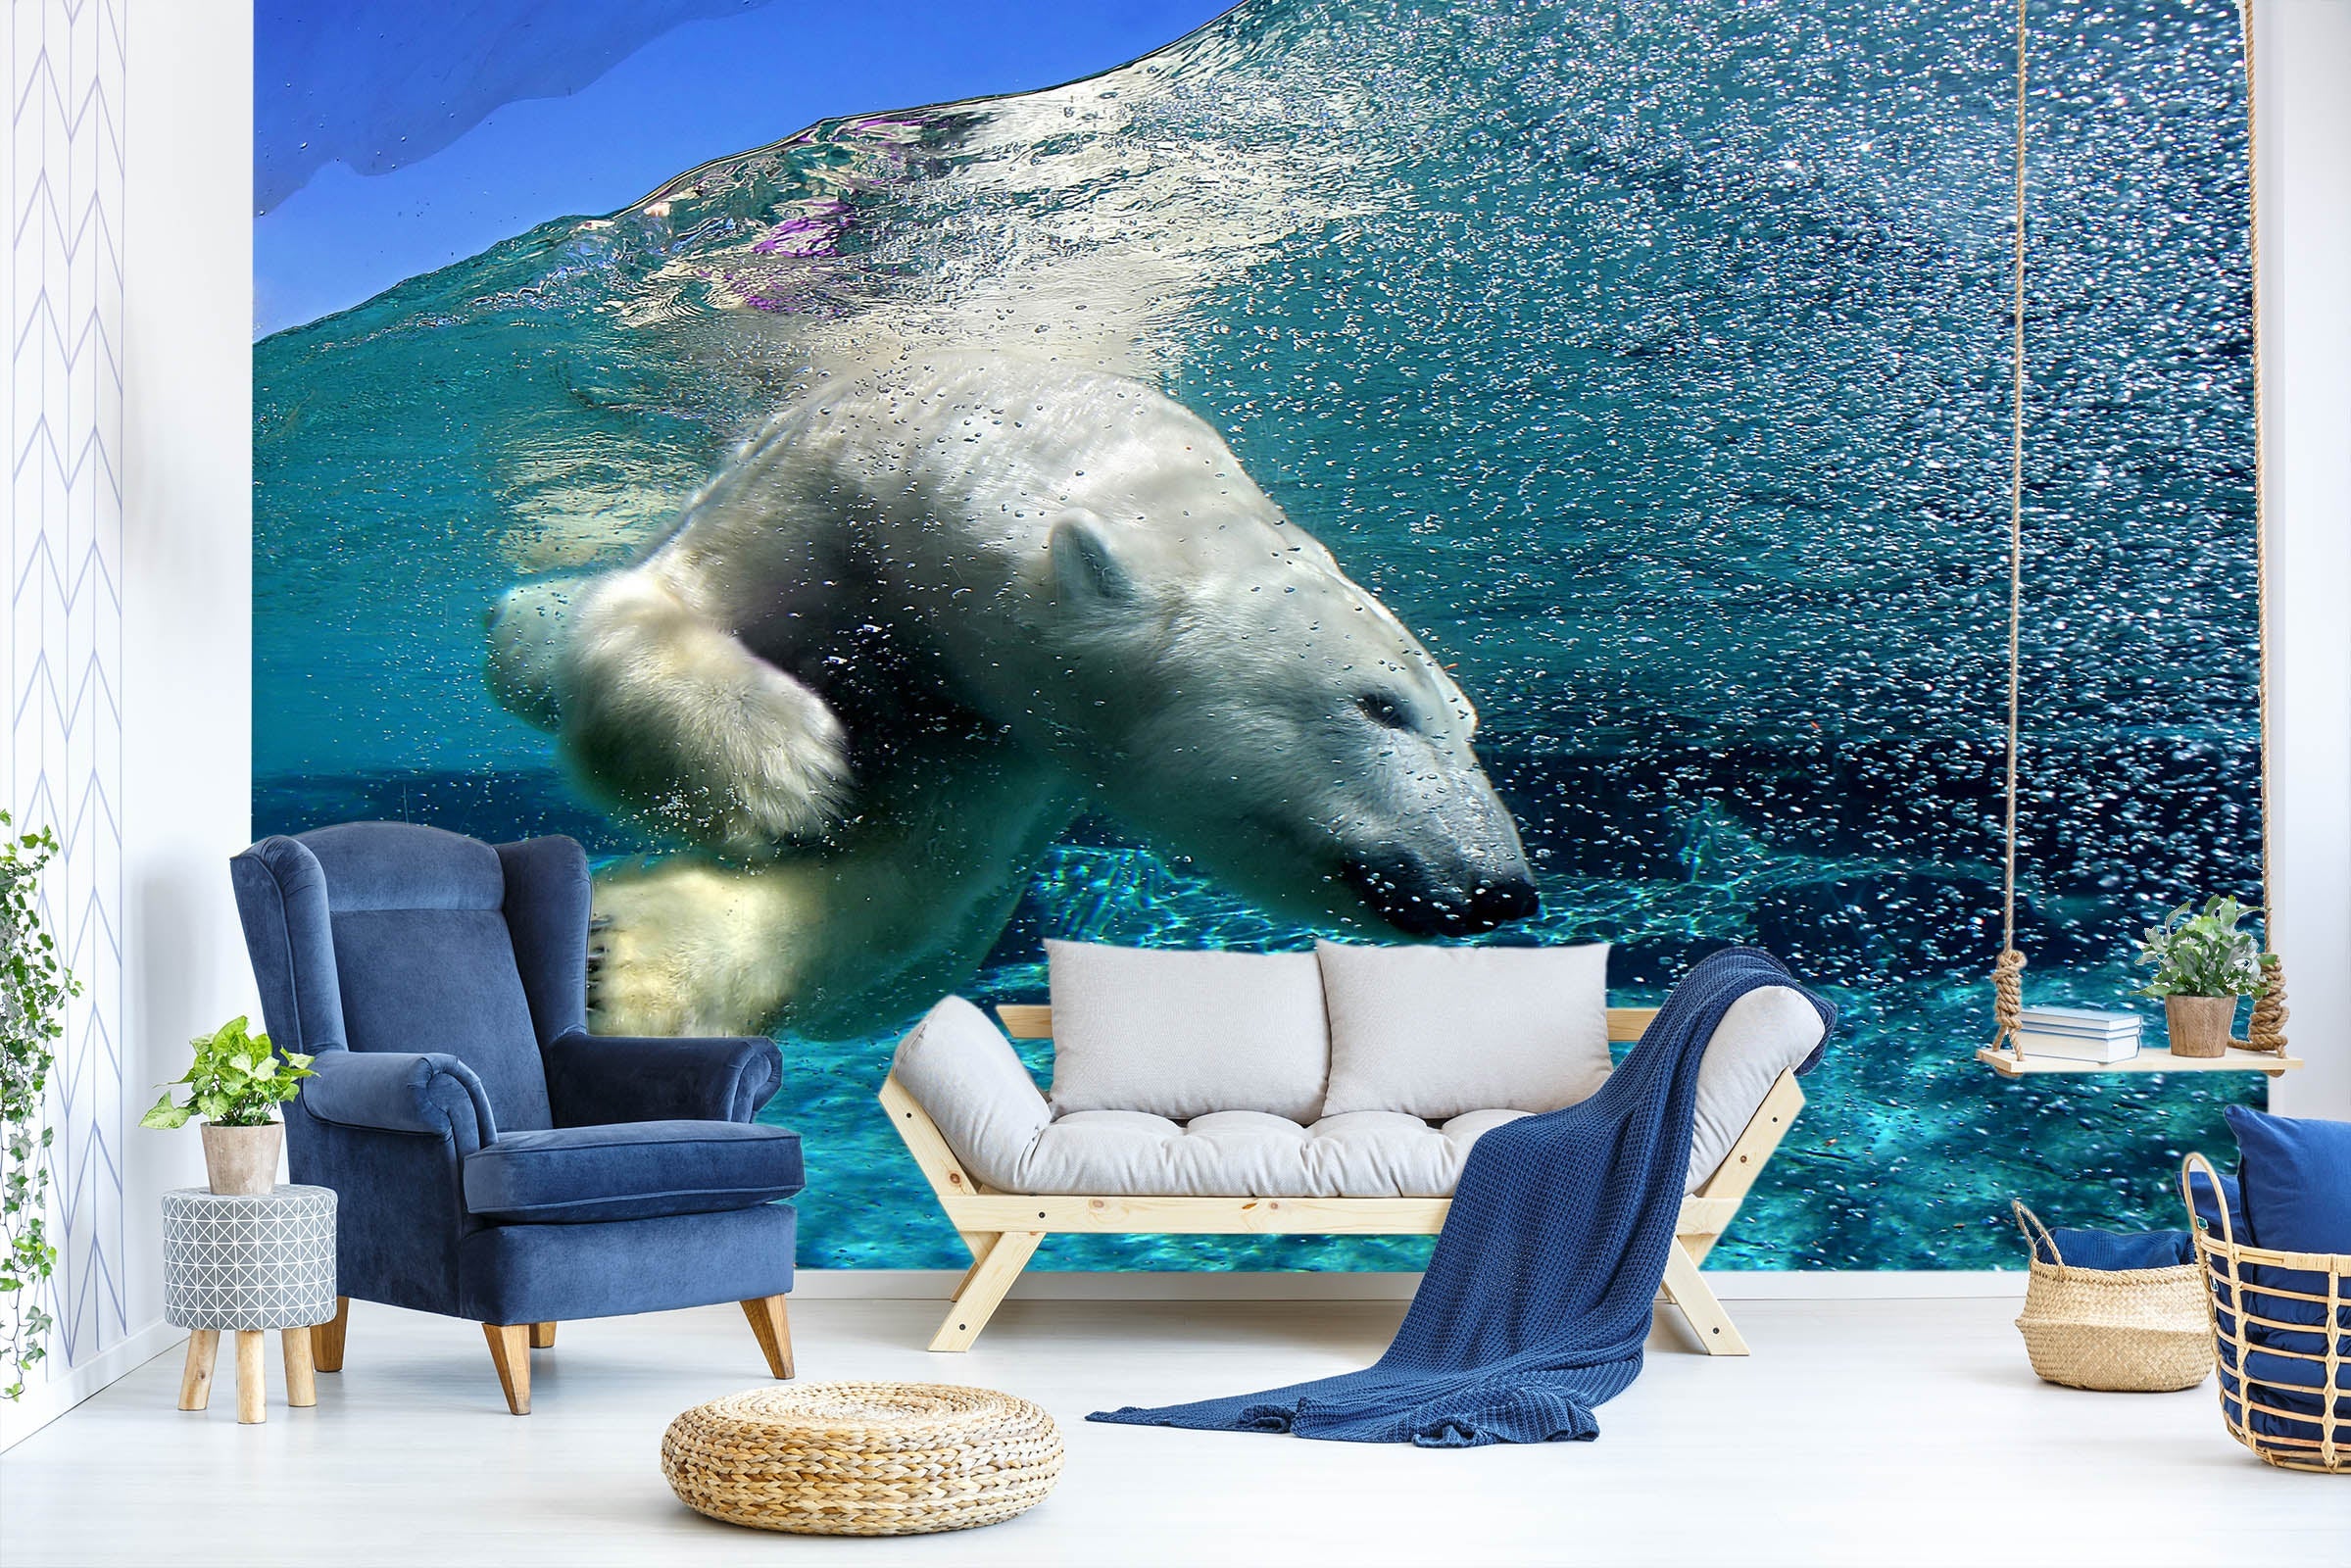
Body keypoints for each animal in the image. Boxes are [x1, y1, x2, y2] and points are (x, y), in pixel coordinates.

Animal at [486, 352, 1537, 1038]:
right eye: (1380, 703)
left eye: (1468, 724)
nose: (1499, 889)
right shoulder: (814, 493)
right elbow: (654, 608)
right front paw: (782, 768)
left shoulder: (1005, 737)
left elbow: (902, 878)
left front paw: (619, 968)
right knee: (531, 632)